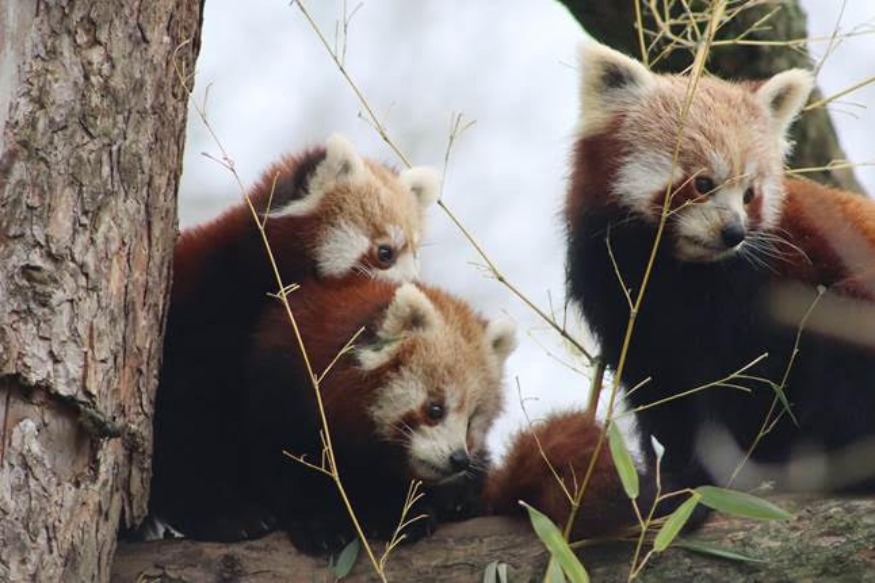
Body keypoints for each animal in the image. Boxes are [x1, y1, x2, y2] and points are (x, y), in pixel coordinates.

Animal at [148, 136, 444, 544]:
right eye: (385, 253)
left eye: (416, 255)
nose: (413, 290)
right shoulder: (203, 315)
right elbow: (189, 422)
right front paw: (226, 514)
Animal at [243, 276, 516, 556]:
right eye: (436, 409)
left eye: (471, 422)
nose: (459, 459)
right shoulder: (281, 391)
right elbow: (286, 464)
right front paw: (322, 524)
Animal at [564, 43, 875, 496]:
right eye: (703, 183)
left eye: (750, 194)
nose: (734, 233)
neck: (679, 273)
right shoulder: (619, 297)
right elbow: (659, 384)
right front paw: (677, 467)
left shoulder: (776, 281)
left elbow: (754, 380)